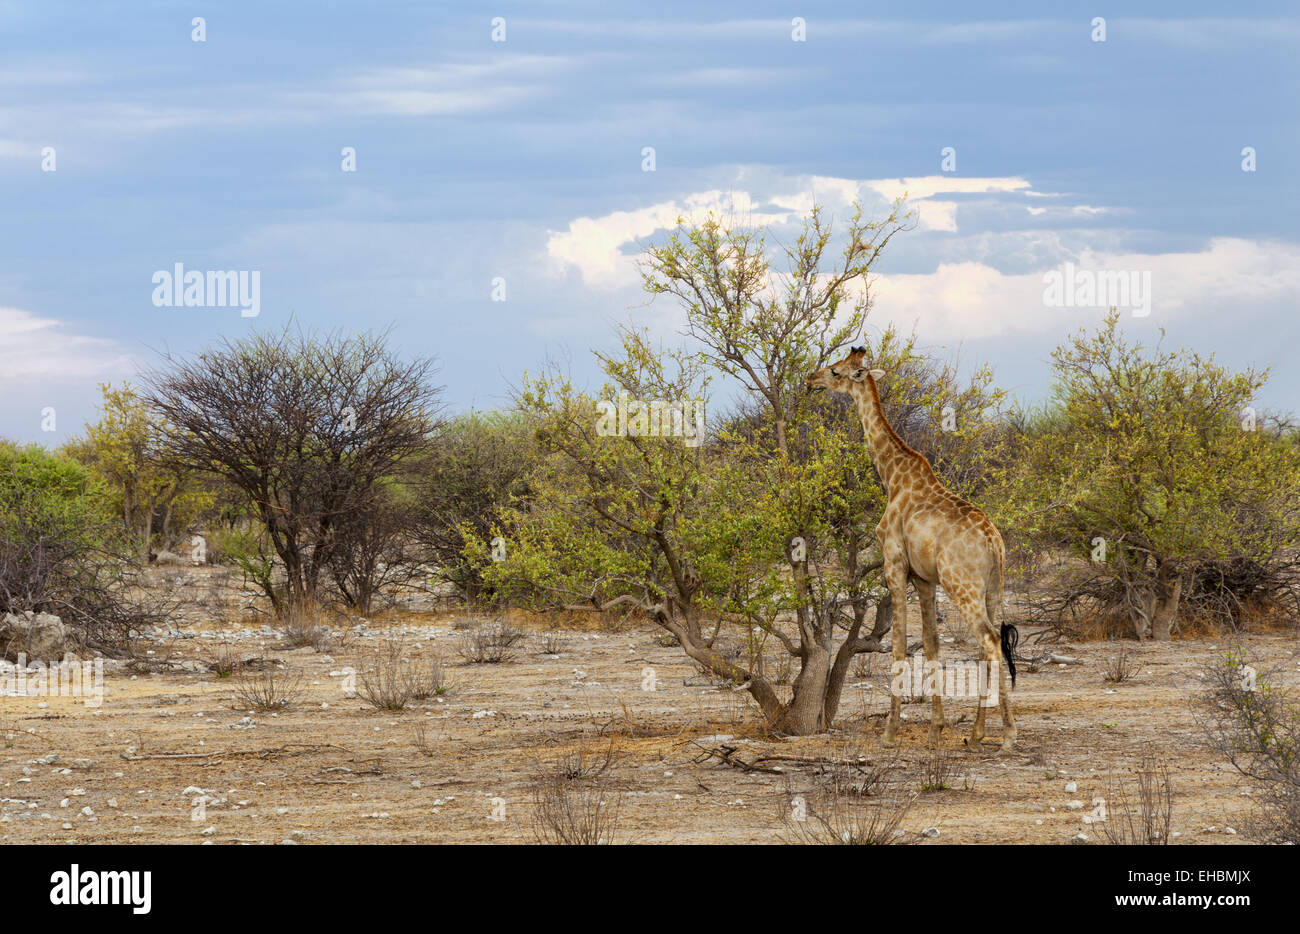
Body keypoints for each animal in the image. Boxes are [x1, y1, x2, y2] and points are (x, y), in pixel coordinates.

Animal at [800, 348, 1013, 749]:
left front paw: (890, 731)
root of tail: (993, 542)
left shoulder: (894, 564)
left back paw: (1008, 733)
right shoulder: (925, 580)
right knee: (990, 643)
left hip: (962, 586)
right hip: (993, 588)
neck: (892, 476)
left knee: (990, 641)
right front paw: (935, 728)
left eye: (836, 371)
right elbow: (931, 644)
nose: (810, 379)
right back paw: (977, 733)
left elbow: (898, 643)